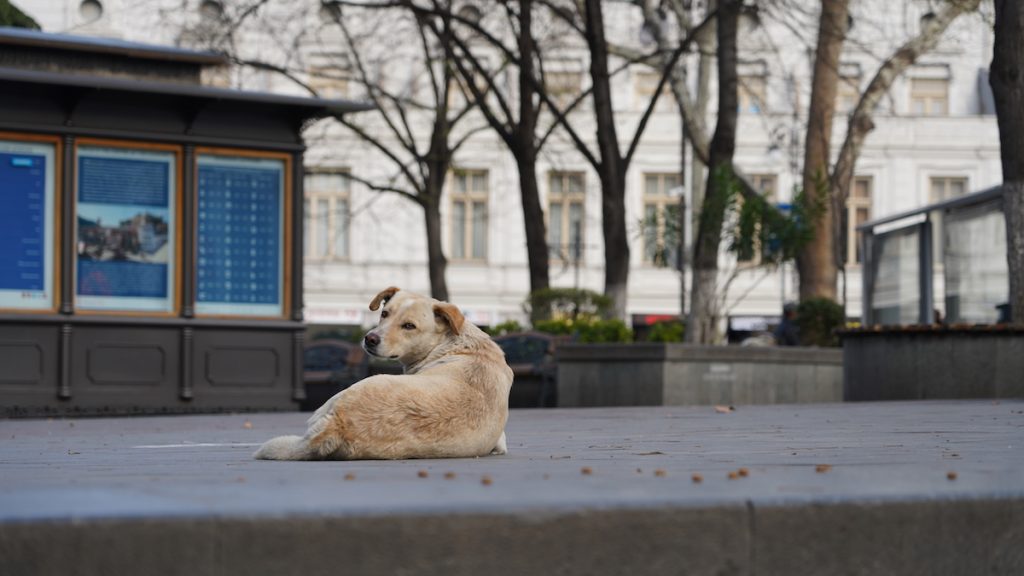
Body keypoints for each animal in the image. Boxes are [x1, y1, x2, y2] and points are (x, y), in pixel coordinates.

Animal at [252, 284, 516, 457]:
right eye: (384, 313)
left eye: (409, 326)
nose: (370, 339)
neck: (452, 343)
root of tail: (337, 426)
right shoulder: (500, 442)